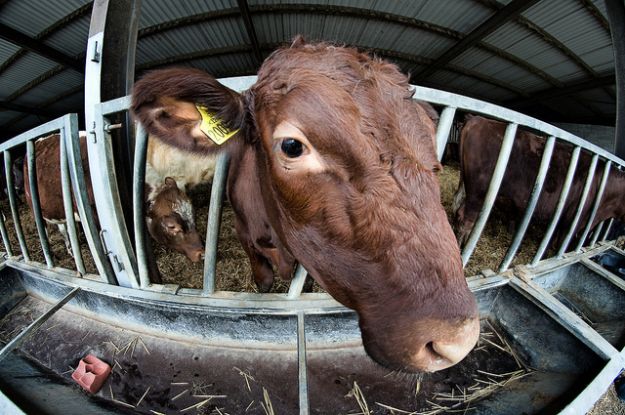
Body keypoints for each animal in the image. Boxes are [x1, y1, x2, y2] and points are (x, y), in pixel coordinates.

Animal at [454, 115, 624, 250]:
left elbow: (551, 239)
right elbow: (560, 245)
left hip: (467, 186)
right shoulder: (573, 221)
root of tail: (478, 119)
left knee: (458, 207)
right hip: (479, 193)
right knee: (465, 220)